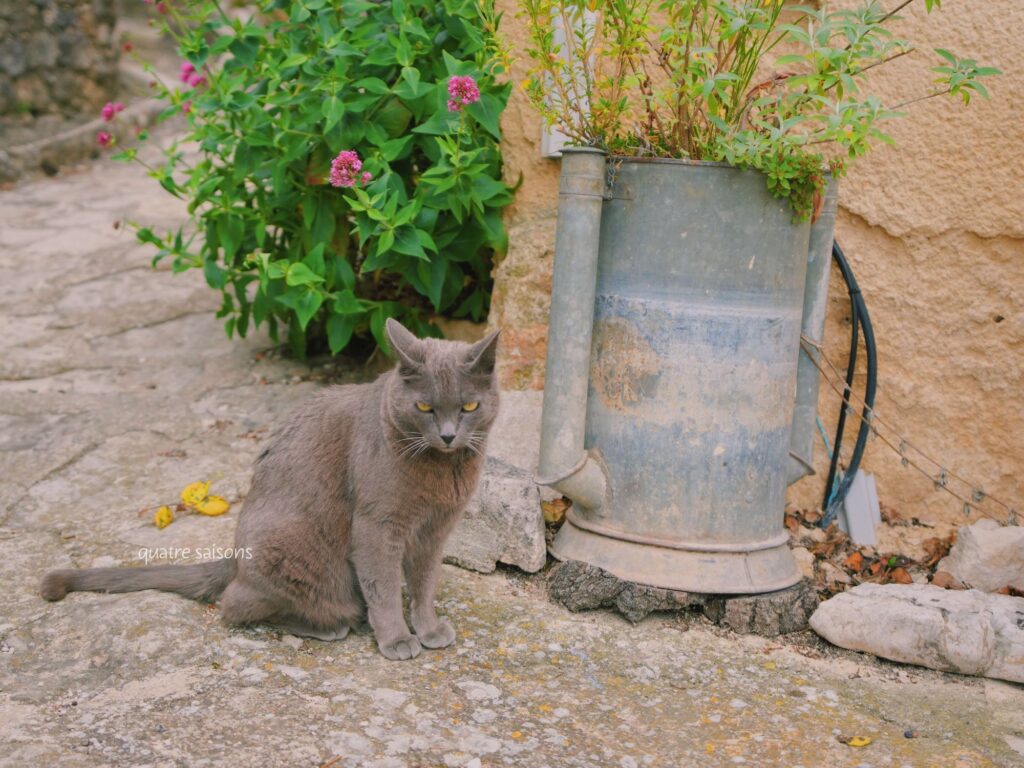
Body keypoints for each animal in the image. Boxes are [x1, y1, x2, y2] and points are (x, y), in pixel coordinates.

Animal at [44, 319, 499, 663]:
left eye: (469, 407)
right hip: (291, 548)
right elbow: (384, 587)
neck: (443, 473)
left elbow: (424, 584)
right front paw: (397, 639)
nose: (447, 435)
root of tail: (235, 555)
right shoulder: (377, 525)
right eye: (424, 407)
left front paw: (428, 628)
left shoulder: (436, 529)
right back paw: (332, 624)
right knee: (235, 606)